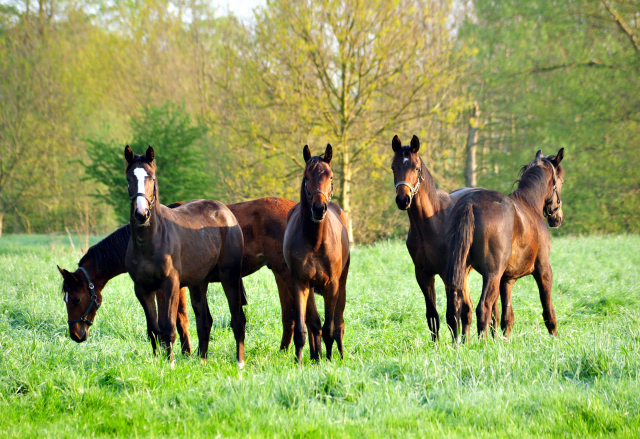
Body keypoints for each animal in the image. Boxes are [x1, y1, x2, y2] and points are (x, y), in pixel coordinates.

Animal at [125, 146, 248, 366]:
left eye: (152, 178)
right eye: (129, 178)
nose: (142, 214)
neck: (150, 242)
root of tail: (226, 212)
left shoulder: (171, 284)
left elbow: (168, 327)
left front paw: (170, 365)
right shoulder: (142, 289)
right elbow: (153, 329)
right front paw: (159, 362)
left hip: (229, 276)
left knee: (237, 319)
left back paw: (239, 363)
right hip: (199, 282)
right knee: (204, 320)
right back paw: (202, 360)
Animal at [282, 144, 350, 364]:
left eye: (330, 176)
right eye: (306, 177)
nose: (319, 208)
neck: (315, 242)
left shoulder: (332, 285)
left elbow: (330, 327)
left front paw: (329, 360)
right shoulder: (300, 284)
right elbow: (304, 328)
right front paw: (300, 361)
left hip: (342, 284)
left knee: (338, 322)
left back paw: (339, 354)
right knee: (314, 323)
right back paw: (315, 356)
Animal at [390, 136, 500, 342]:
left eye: (416, 168)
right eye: (393, 167)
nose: (403, 200)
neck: (431, 222)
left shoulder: (446, 273)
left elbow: (451, 314)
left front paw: (454, 344)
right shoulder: (423, 274)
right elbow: (432, 316)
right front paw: (438, 345)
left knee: (490, 309)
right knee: (468, 308)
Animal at [444, 150, 564, 338]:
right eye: (561, 181)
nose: (557, 218)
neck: (529, 205)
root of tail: (470, 204)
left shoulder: (506, 279)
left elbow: (506, 316)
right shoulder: (544, 270)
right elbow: (548, 311)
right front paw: (554, 339)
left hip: (462, 272)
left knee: (455, 309)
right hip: (491, 274)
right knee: (483, 308)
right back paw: (482, 343)